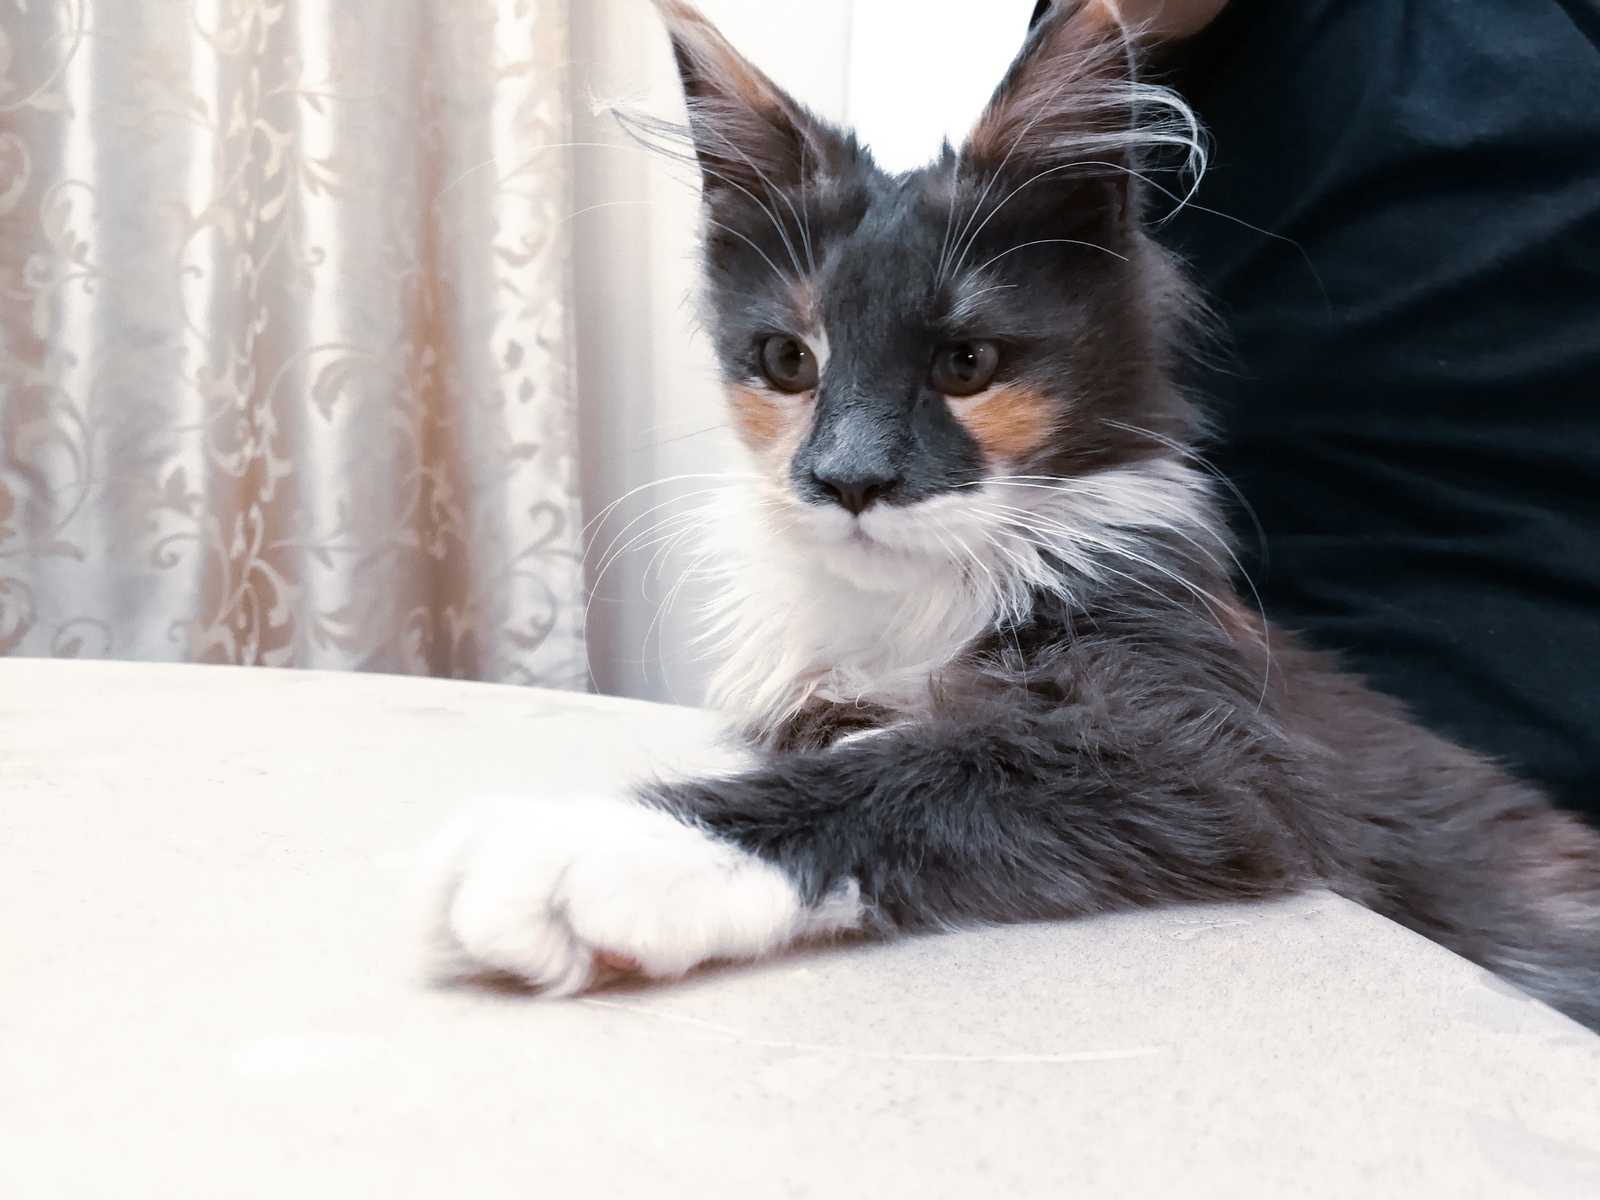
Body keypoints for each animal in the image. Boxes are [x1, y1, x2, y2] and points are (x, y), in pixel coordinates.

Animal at [419, 0, 1600, 1036]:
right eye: (788, 361)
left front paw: (608, 847)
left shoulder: (1207, 749)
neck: (912, 602)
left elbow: (929, 763)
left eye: (966, 363)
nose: (847, 477)